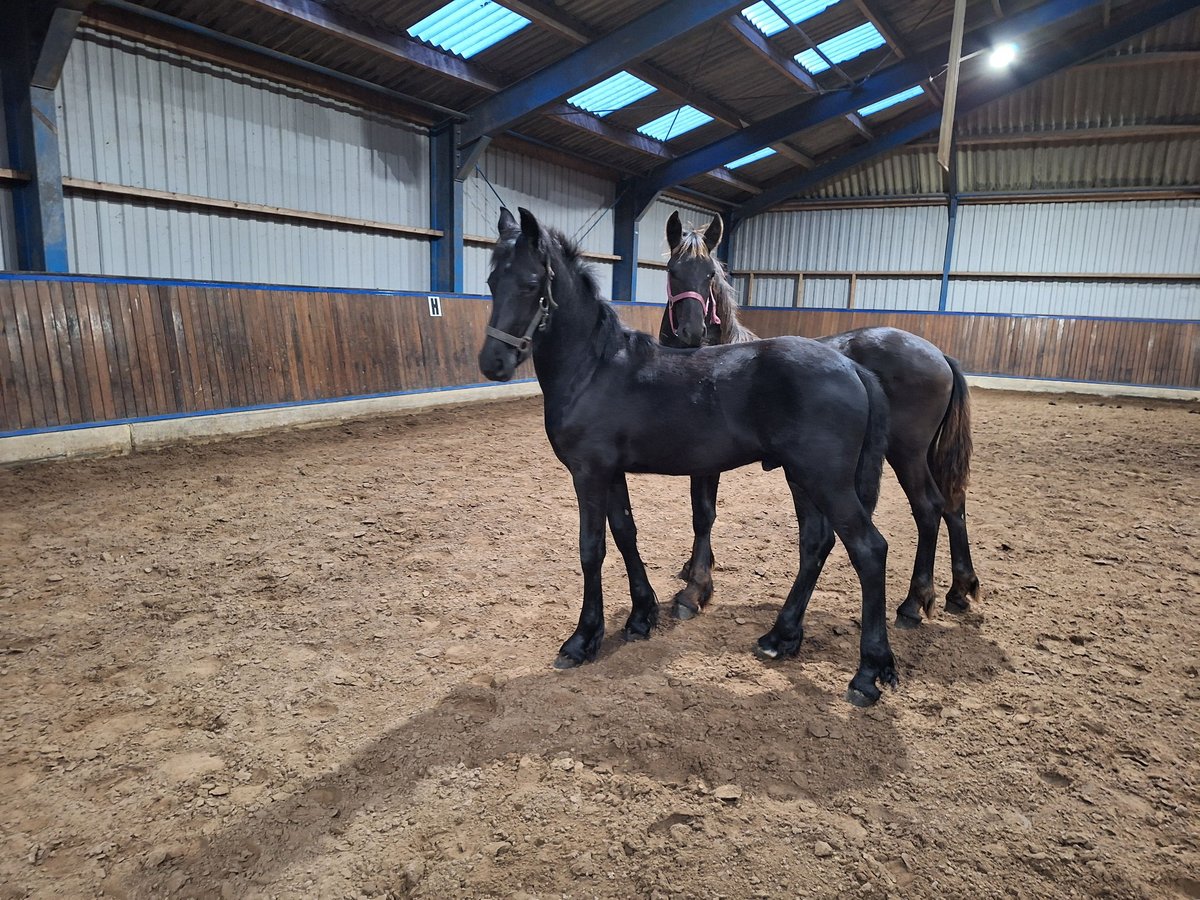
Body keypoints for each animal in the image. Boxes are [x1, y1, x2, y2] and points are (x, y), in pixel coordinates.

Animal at [482, 207, 897, 710]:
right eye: (491, 280)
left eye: (529, 283)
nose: (493, 363)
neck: (594, 368)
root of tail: (853, 366)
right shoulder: (611, 472)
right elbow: (625, 534)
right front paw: (641, 617)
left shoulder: (588, 473)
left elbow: (591, 549)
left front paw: (582, 640)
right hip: (802, 479)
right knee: (815, 543)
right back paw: (780, 637)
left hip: (826, 481)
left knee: (869, 550)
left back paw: (867, 674)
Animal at [662, 213, 979, 628]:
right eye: (672, 271)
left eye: (710, 274)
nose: (692, 331)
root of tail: (939, 354)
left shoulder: (705, 460)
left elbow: (703, 514)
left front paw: (695, 589)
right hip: (926, 454)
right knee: (953, 503)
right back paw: (959, 589)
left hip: (906, 453)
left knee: (928, 508)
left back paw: (914, 602)